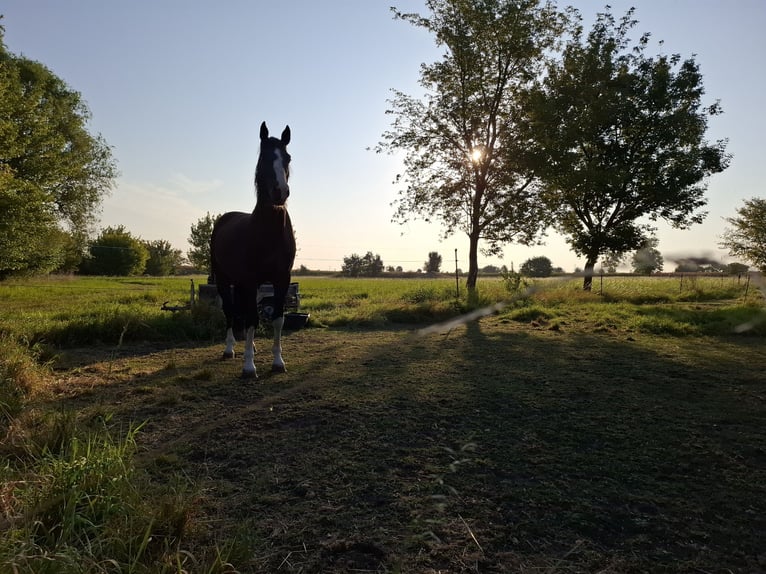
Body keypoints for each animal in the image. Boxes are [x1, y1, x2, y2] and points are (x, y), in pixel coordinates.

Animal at [210, 121, 296, 380]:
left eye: (287, 157)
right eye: (264, 157)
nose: (280, 192)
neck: (269, 234)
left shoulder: (281, 279)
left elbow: (277, 320)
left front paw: (278, 362)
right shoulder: (249, 280)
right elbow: (251, 319)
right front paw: (249, 366)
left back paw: (253, 347)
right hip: (224, 280)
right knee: (230, 311)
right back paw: (229, 349)